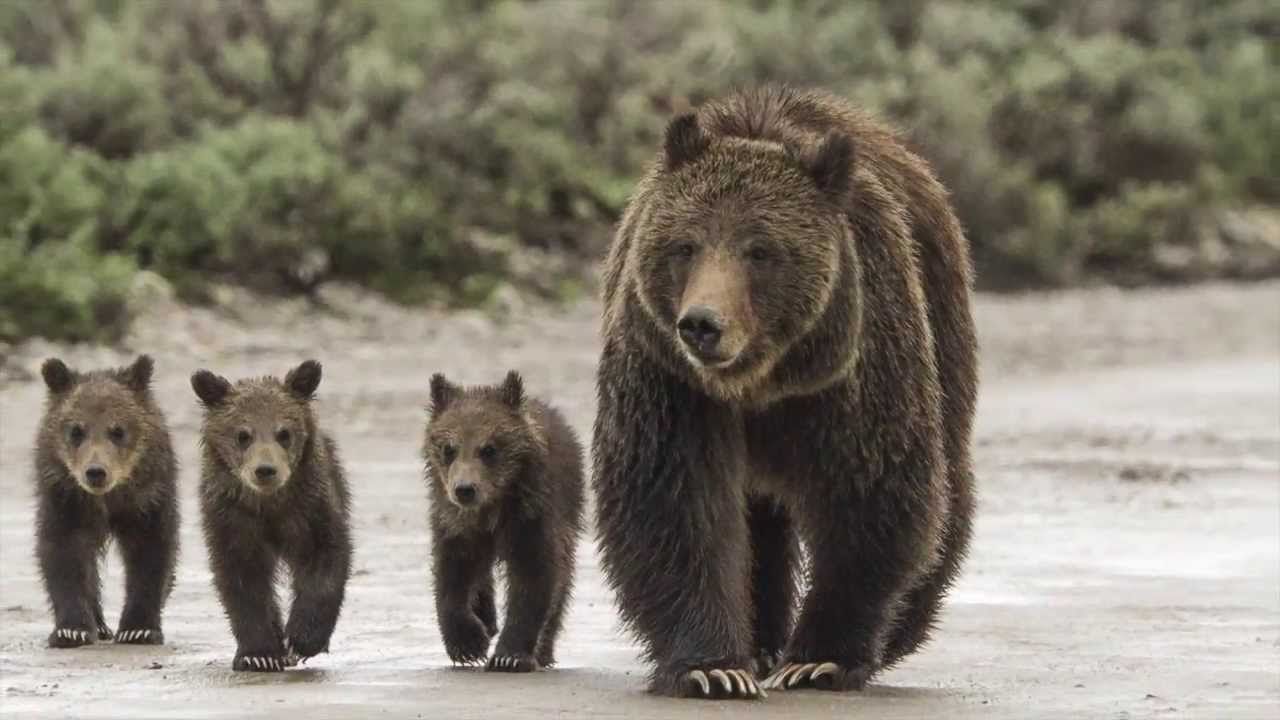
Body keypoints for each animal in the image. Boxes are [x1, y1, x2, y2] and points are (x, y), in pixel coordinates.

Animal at [34, 353, 180, 645]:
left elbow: (151, 552)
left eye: (118, 430)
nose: (96, 472)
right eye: (76, 430)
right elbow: (64, 552)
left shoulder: (148, 498)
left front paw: (138, 629)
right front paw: (72, 630)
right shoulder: (65, 497)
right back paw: (99, 626)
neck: (107, 499)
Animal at [190, 361, 350, 671]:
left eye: (283, 433)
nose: (265, 470)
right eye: (243, 434)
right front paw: (258, 654)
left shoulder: (310, 509)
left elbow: (325, 561)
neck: (268, 505)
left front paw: (301, 639)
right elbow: (242, 580)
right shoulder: (233, 519)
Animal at [427, 371, 586, 671]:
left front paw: (509, 656)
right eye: (448, 448)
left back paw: (544, 650)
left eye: (489, 449)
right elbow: (452, 574)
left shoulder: (530, 517)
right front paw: (467, 644)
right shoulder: (455, 522)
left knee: (563, 578)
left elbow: (534, 577)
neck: (492, 508)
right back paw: (487, 619)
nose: (465, 489)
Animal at [591, 83, 977, 696]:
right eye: (685, 245)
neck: (761, 382)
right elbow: (673, 501)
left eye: (761, 249)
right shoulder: (670, 379)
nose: (702, 324)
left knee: (947, 479)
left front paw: (821, 658)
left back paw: (899, 629)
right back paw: (760, 642)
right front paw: (712, 667)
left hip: (941, 320)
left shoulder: (853, 368)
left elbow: (871, 494)